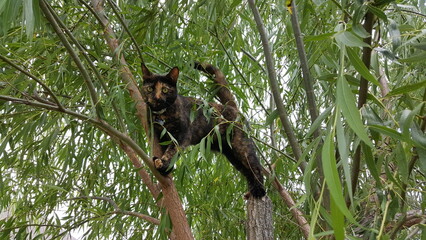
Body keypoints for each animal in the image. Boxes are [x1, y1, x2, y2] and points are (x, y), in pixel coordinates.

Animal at [141, 62, 264, 199]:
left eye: (165, 90)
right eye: (150, 89)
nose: (156, 98)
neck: (162, 116)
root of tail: (232, 108)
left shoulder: (182, 135)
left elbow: (172, 151)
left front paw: (164, 164)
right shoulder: (160, 135)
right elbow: (164, 150)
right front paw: (166, 167)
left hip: (241, 146)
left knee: (255, 167)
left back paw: (259, 190)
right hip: (232, 155)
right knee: (247, 171)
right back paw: (250, 191)